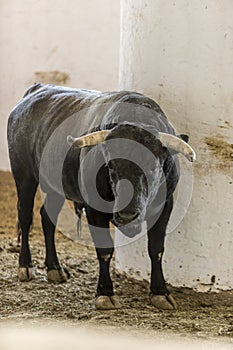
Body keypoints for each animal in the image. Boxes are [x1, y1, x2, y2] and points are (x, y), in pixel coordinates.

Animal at [6, 83, 195, 310]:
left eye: (152, 167)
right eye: (111, 166)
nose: (126, 215)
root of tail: (36, 89)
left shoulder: (166, 205)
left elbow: (156, 248)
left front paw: (160, 292)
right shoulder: (94, 209)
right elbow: (104, 249)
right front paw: (105, 293)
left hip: (55, 186)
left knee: (47, 218)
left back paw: (55, 268)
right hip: (24, 174)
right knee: (26, 217)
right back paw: (26, 266)